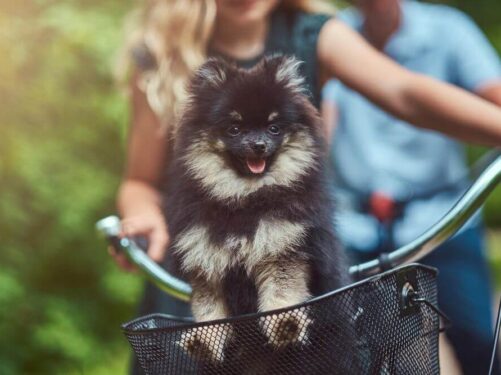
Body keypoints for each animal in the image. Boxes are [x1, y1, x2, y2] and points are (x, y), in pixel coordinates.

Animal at [162, 55, 350, 368]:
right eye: (234, 128)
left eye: (274, 128)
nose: (258, 145)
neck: (244, 199)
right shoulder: (206, 262)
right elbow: (209, 311)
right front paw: (204, 343)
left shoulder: (282, 249)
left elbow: (282, 293)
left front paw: (286, 325)